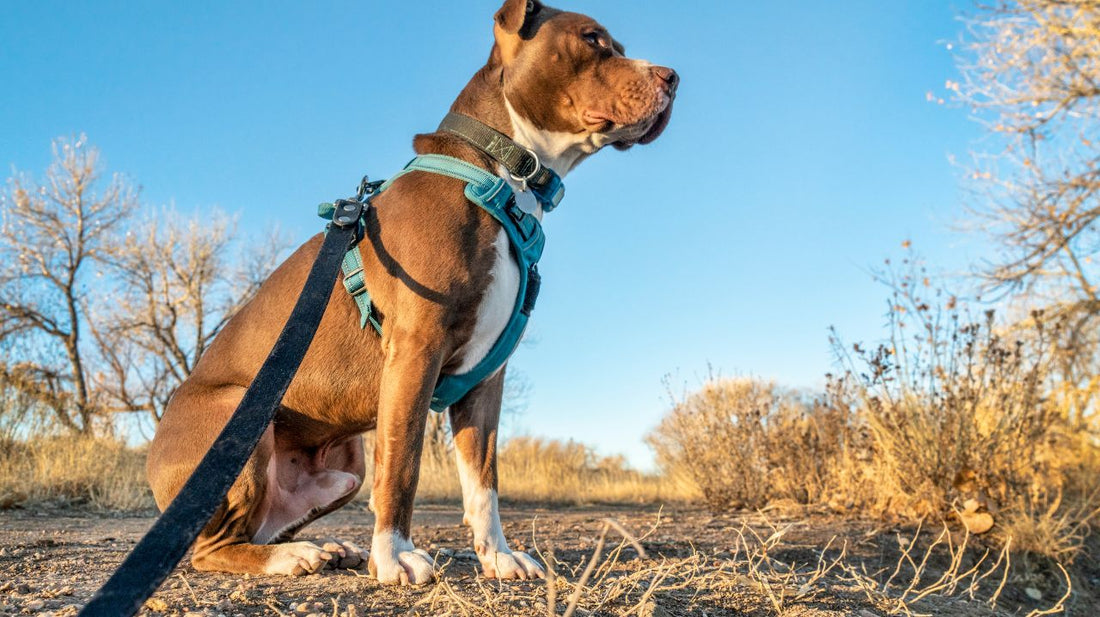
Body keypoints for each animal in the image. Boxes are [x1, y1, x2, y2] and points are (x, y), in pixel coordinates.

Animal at [146, 0, 673, 585]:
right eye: (593, 39)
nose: (672, 77)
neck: (500, 175)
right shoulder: (416, 350)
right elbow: (402, 465)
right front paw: (395, 556)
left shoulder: (484, 379)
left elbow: (484, 481)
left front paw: (498, 556)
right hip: (239, 422)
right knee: (211, 547)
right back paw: (291, 556)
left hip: (345, 466)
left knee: (262, 526)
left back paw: (325, 548)